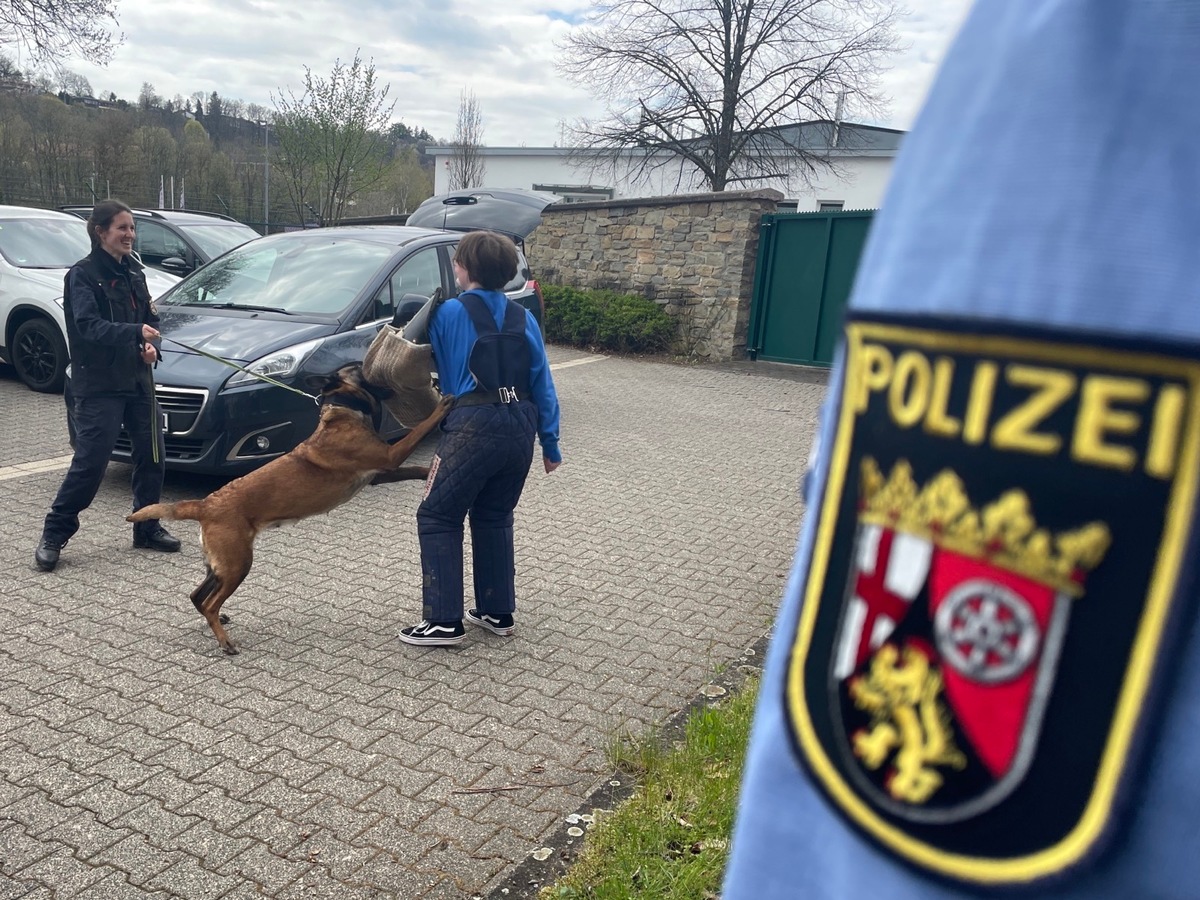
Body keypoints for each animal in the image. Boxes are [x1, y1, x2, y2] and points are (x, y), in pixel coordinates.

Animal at [129, 364, 451, 657]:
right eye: (361, 369)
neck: (343, 412)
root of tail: (206, 504)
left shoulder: (380, 472)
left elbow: (414, 469)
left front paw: (430, 472)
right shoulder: (390, 455)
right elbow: (419, 429)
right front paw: (443, 406)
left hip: (220, 566)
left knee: (197, 596)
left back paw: (219, 621)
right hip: (238, 564)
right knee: (208, 602)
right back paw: (225, 641)